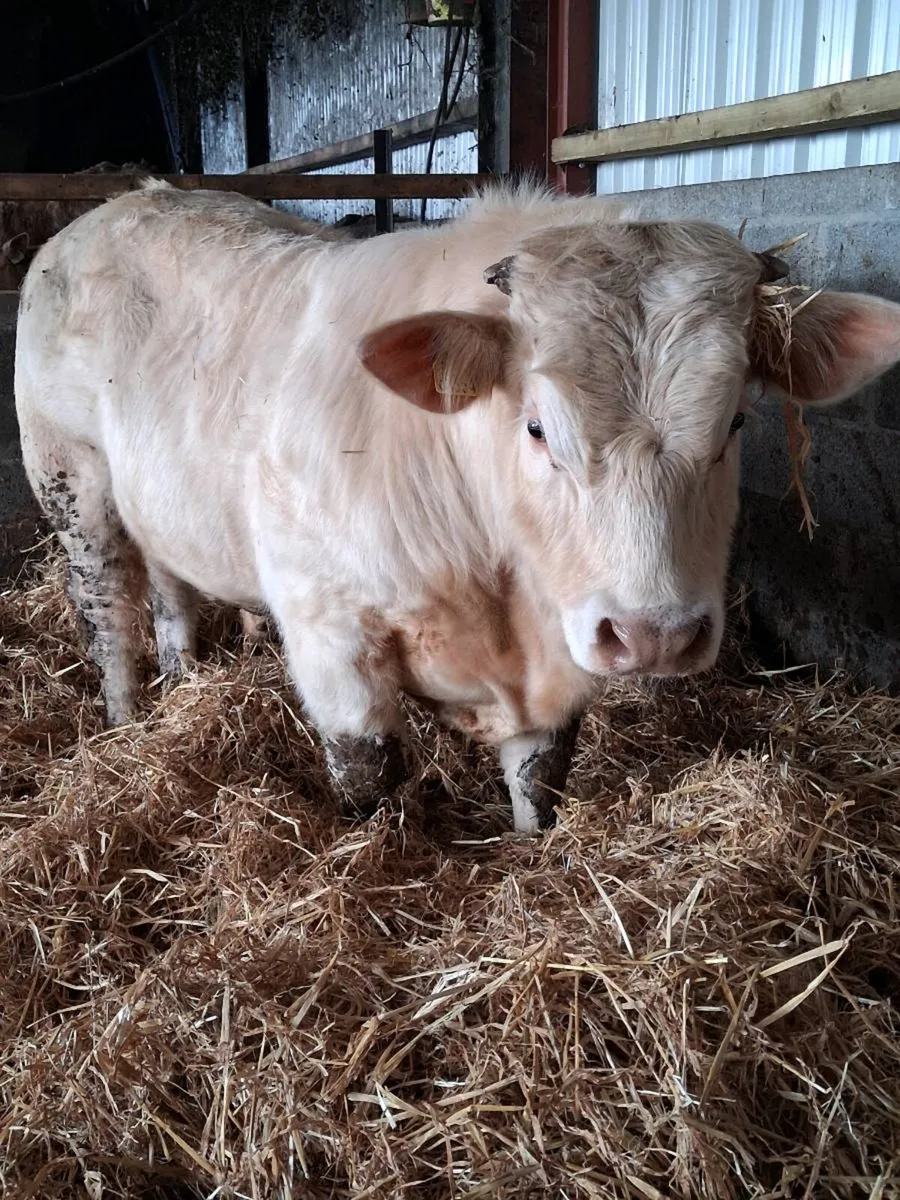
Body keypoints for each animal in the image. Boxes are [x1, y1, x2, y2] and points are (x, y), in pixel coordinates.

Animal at [14, 179, 900, 832]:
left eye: (735, 423)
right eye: (537, 426)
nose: (654, 635)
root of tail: (113, 207)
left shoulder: (556, 656)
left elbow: (541, 780)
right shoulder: (329, 632)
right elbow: (367, 776)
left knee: (171, 597)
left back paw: (183, 676)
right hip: (73, 483)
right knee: (108, 616)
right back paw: (127, 722)